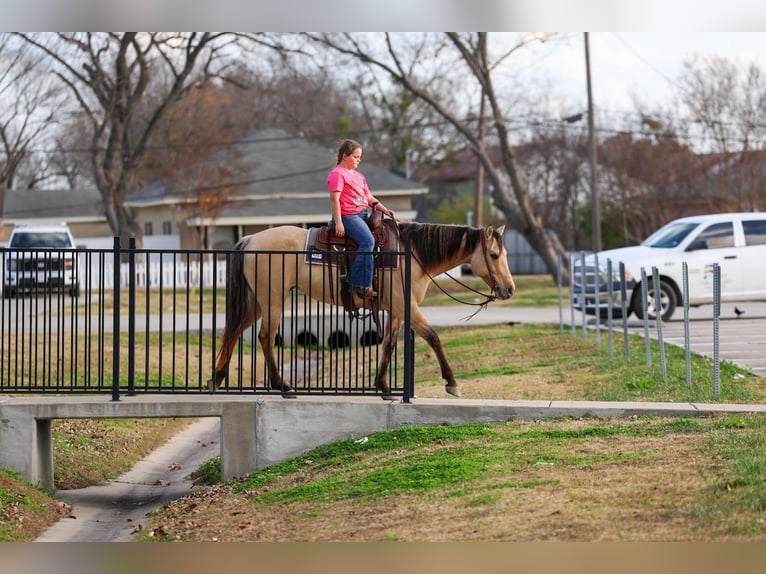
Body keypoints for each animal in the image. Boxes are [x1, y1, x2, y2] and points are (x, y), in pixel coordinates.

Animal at [208, 221, 516, 398]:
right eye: (493, 255)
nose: (510, 289)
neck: (412, 254)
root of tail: (250, 240)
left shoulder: (396, 310)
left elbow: (389, 344)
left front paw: (383, 386)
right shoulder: (407, 305)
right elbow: (433, 337)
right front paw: (452, 383)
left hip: (255, 301)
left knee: (233, 331)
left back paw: (216, 379)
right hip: (271, 300)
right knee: (265, 336)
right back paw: (282, 386)